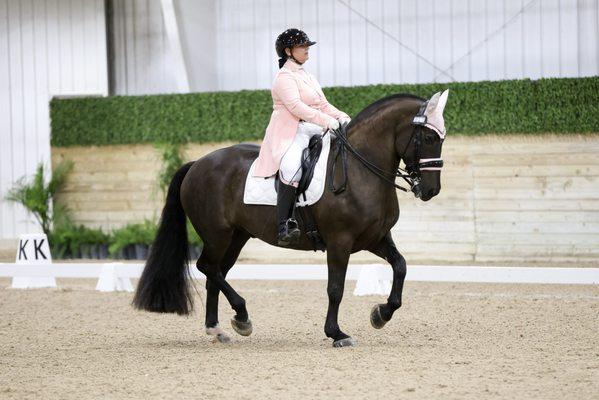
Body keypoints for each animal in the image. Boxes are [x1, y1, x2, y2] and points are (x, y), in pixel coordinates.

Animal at [132, 90, 450, 346]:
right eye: (428, 137)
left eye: (442, 137)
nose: (431, 191)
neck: (360, 170)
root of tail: (198, 163)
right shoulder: (340, 242)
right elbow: (335, 288)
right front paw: (337, 333)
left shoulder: (376, 238)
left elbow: (401, 266)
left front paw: (381, 314)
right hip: (216, 234)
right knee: (207, 267)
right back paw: (242, 316)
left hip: (236, 236)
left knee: (215, 273)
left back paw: (219, 329)